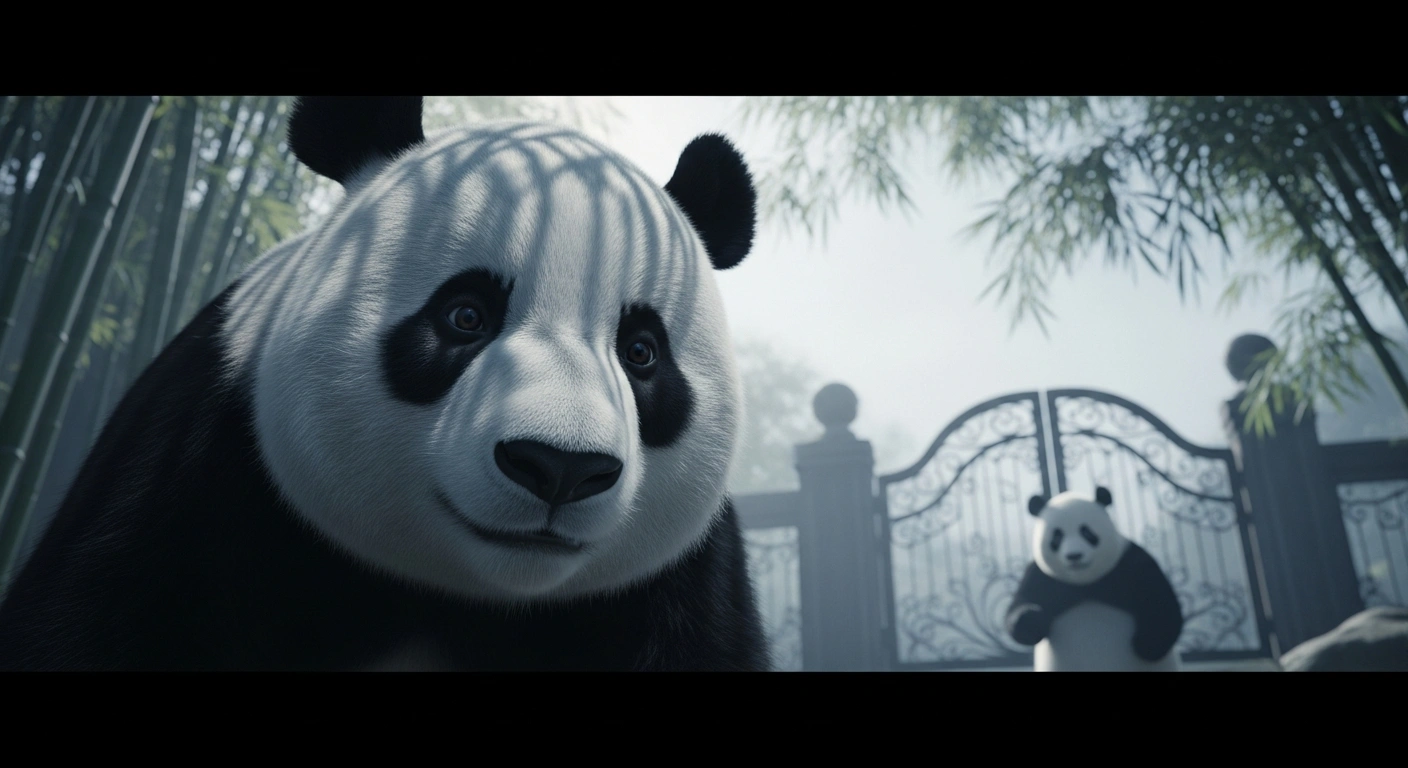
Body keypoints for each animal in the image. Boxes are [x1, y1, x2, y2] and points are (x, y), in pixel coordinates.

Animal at [0, 96, 771, 671]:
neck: (458, 597)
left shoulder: (678, 589)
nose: (559, 467)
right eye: (465, 316)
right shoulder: (189, 490)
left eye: (641, 353)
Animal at [1005, 487, 1183, 672]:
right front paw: (1032, 621)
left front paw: (1147, 645)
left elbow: (1161, 604)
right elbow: (1020, 606)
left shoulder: (1133, 566)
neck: (1084, 585)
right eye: (1057, 536)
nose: (1074, 556)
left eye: (1086, 532)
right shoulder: (1041, 578)